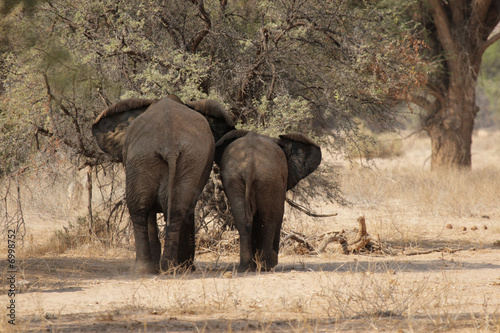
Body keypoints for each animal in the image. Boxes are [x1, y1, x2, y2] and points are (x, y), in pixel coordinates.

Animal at [91, 94, 234, 272]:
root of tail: (169, 145)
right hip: (160, 159)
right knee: (164, 209)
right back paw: (160, 268)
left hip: (152, 159)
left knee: (146, 210)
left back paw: (156, 268)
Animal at [215, 128, 320, 272]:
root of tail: (250, 165)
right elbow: (278, 214)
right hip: (269, 179)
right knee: (270, 218)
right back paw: (267, 266)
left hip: (236, 179)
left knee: (242, 219)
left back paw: (246, 268)